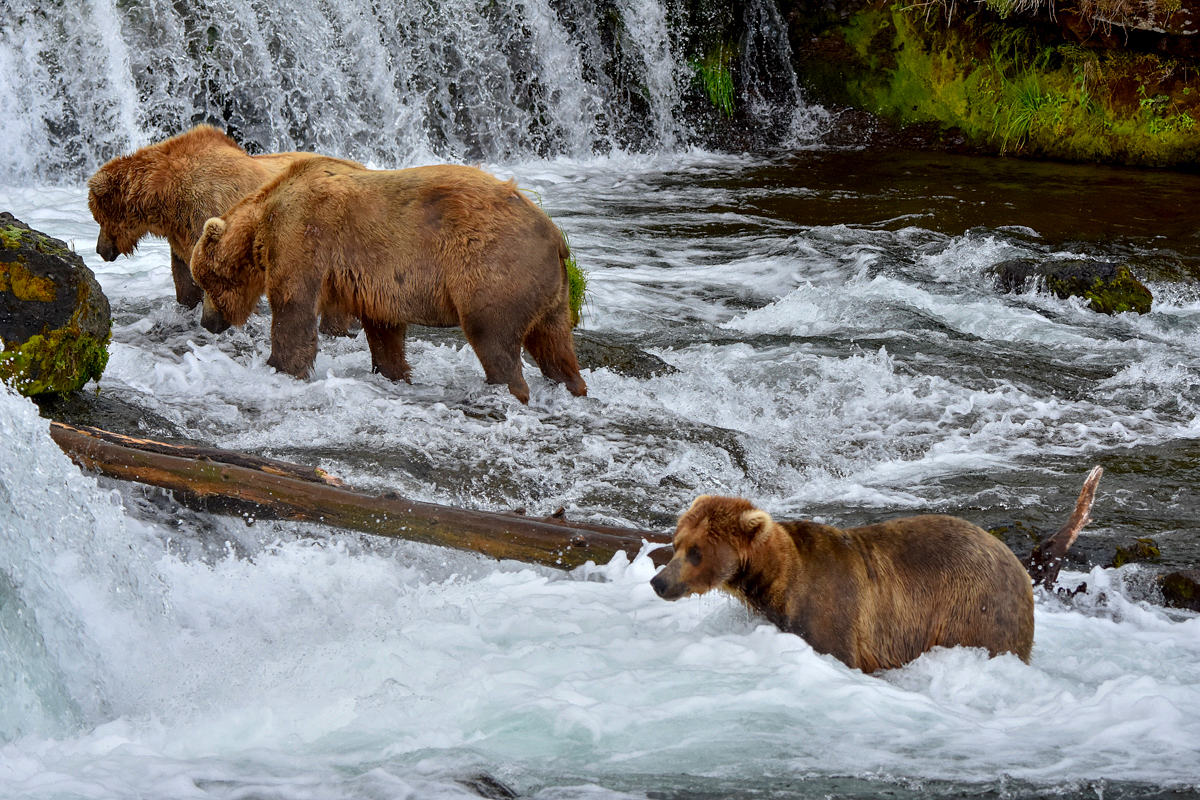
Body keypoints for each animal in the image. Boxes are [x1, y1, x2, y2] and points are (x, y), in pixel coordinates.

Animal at [85, 124, 355, 335]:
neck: (168, 198)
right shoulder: (182, 234)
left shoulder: (212, 213)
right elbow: (184, 278)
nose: (100, 249)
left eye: (97, 217)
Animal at [189, 158, 588, 407]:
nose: (207, 322)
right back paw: (573, 388)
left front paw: (278, 367)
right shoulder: (376, 281)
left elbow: (294, 311)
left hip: (495, 268)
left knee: (493, 337)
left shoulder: (303, 236)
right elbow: (384, 331)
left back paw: (505, 392)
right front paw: (394, 374)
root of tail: (554, 234)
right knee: (554, 346)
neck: (261, 224)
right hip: (550, 290)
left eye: (204, 281)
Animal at [652, 472, 1099, 671]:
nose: (658, 582)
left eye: (696, 552)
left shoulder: (833, 609)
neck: (778, 581)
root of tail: (1016, 562)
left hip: (978, 610)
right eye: (677, 543)